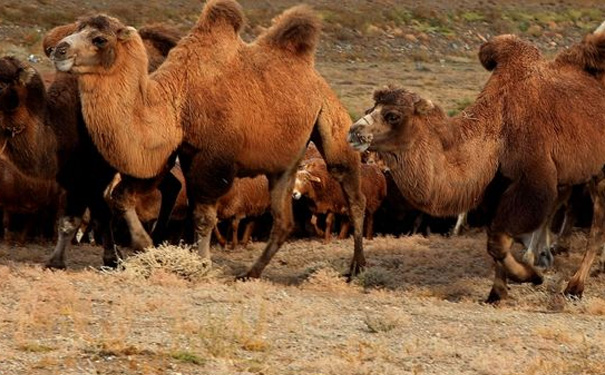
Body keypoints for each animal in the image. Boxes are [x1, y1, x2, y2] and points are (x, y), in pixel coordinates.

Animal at [0, 24, 182, 270]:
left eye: (2, 82)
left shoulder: (96, 170)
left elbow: (92, 214)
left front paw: (110, 258)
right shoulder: (74, 174)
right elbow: (83, 216)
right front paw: (62, 260)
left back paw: (157, 239)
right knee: (171, 186)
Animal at [49, 0, 364, 280]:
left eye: (99, 39)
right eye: (77, 27)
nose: (58, 50)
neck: (176, 103)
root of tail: (313, 74)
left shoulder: (215, 158)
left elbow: (203, 216)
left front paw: (201, 265)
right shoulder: (174, 152)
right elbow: (122, 197)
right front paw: (147, 246)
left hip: (332, 119)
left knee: (352, 194)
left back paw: (356, 268)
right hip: (285, 162)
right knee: (283, 220)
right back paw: (251, 273)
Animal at [346, 32, 605, 304]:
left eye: (392, 115)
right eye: (369, 109)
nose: (354, 131)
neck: (497, 129)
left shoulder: (535, 177)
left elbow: (498, 240)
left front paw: (530, 275)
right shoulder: (496, 184)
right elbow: (495, 237)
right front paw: (498, 292)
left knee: (597, 226)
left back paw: (574, 287)